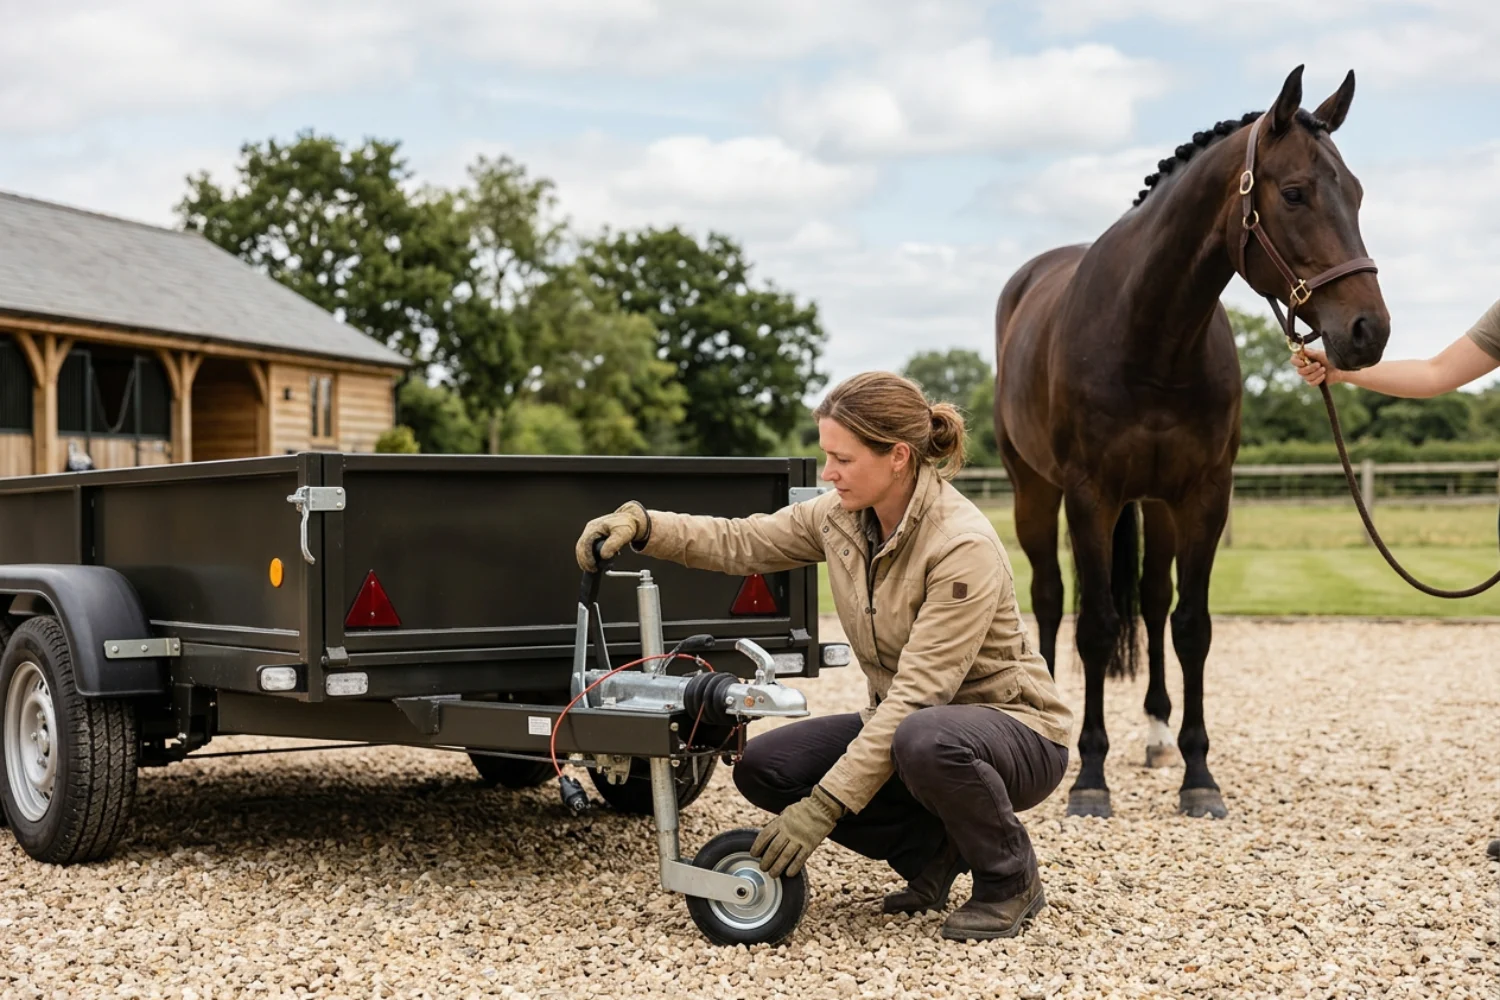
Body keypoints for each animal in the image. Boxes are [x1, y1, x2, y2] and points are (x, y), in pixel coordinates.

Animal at [993, 65, 1390, 820]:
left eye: (1356, 193)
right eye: (1294, 193)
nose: (1368, 331)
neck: (1151, 335)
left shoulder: (1203, 495)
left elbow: (1191, 626)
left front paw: (1197, 773)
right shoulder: (1089, 496)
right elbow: (1095, 624)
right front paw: (1090, 779)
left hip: (1154, 505)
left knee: (1151, 601)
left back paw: (1154, 735)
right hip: (1035, 489)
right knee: (1051, 596)